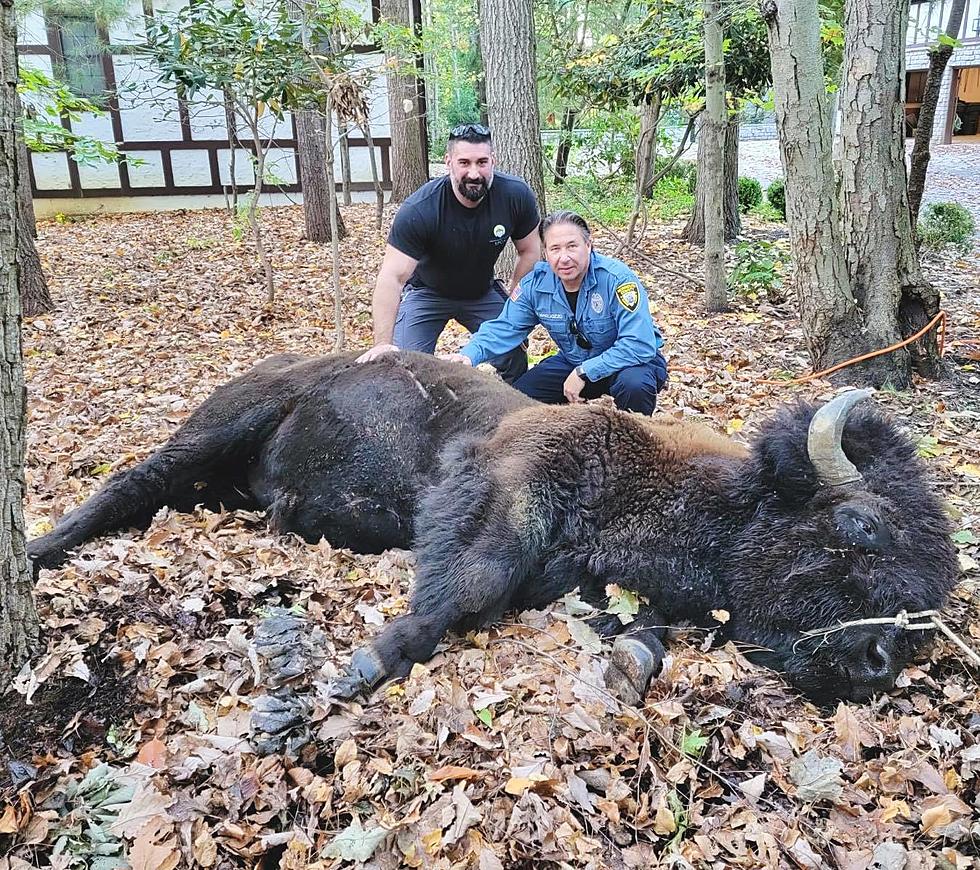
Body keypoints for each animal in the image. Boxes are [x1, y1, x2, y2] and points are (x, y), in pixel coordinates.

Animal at [30, 350, 956, 704]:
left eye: (934, 596)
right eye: (861, 527)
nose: (878, 661)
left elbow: (639, 630)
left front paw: (629, 659)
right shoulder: (504, 483)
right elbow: (474, 580)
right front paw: (366, 664)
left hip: (219, 480)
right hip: (218, 426)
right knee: (128, 484)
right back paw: (39, 551)